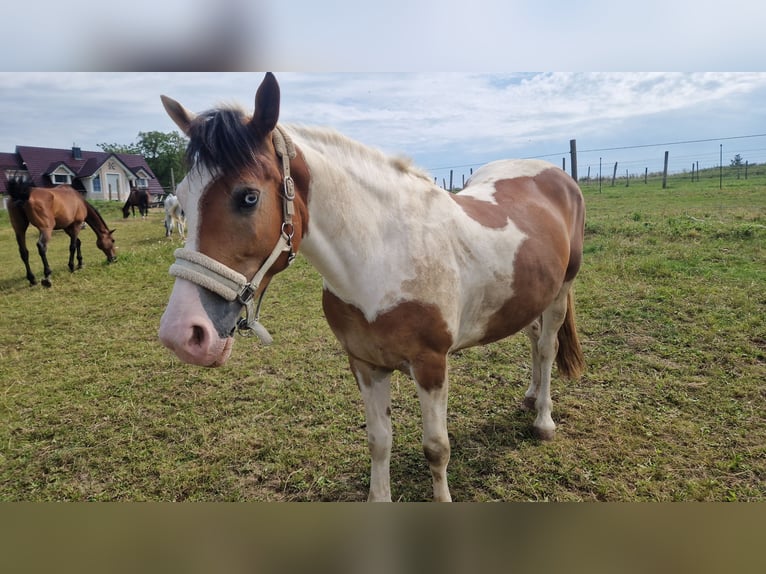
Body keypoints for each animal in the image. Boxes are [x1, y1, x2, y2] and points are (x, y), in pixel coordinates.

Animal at [156, 73, 588, 504]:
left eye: (248, 197)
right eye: (186, 198)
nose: (183, 333)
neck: (384, 256)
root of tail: (557, 175)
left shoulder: (431, 366)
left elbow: (436, 448)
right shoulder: (365, 363)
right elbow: (379, 441)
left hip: (559, 293)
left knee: (547, 347)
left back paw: (543, 420)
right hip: (529, 296)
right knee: (533, 338)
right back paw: (530, 396)